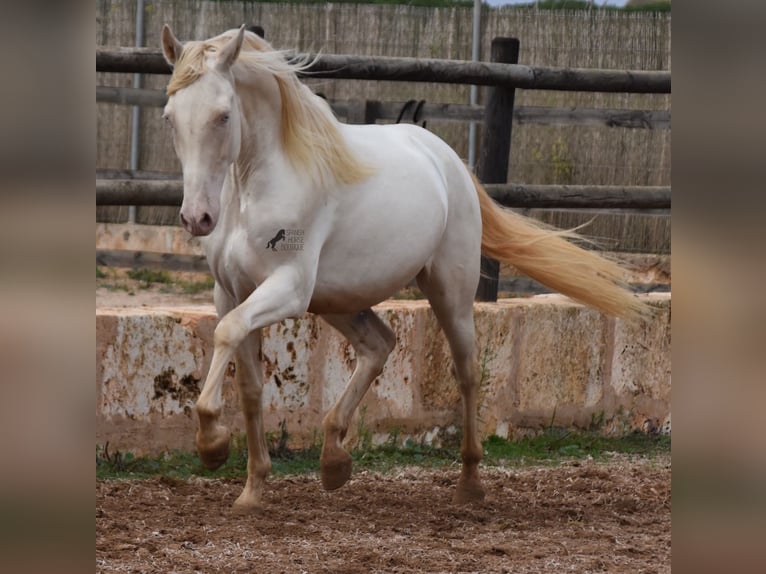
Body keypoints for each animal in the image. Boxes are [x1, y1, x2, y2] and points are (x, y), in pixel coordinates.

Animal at [160, 25, 648, 512]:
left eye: (223, 116)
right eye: (170, 117)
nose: (197, 218)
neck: (254, 188)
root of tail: (447, 159)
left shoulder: (288, 289)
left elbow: (226, 336)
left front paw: (212, 446)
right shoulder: (231, 293)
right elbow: (250, 386)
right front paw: (251, 488)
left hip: (449, 293)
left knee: (467, 372)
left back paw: (469, 482)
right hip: (339, 299)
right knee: (379, 345)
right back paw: (334, 461)